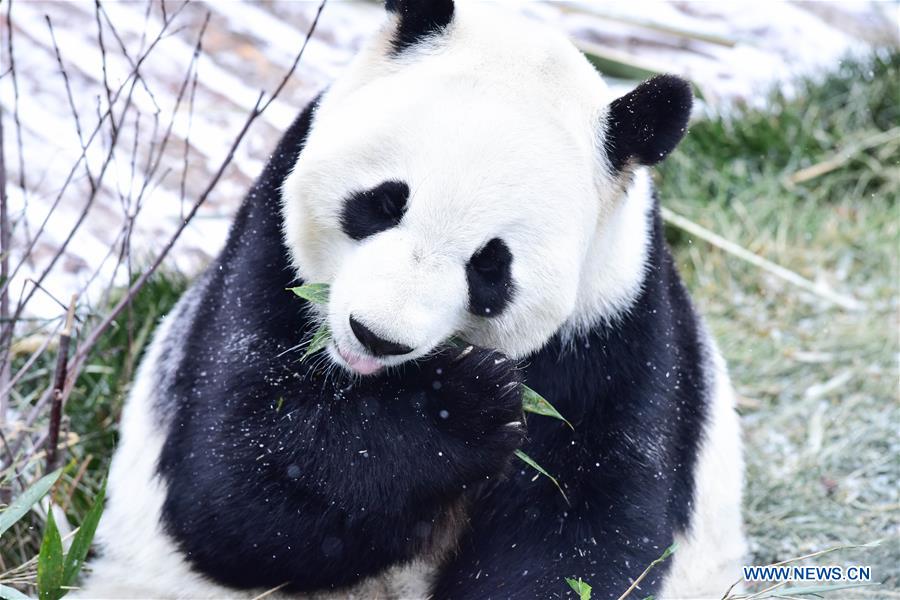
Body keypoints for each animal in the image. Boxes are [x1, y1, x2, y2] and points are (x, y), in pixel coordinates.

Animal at [82, 1, 744, 600]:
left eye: (490, 267)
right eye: (382, 202)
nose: (376, 335)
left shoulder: (613, 327)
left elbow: (584, 526)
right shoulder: (266, 252)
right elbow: (236, 484)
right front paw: (462, 404)